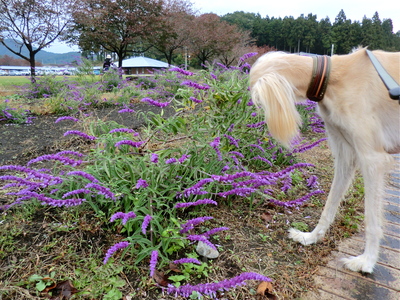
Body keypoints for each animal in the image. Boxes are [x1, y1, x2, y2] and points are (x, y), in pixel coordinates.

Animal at [250, 48, 400, 274]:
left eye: (257, 97)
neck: (332, 78)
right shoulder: (346, 156)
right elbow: (329, 205)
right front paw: (311, 237)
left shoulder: (372, 160)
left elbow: (372, 220)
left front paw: (367, 261)